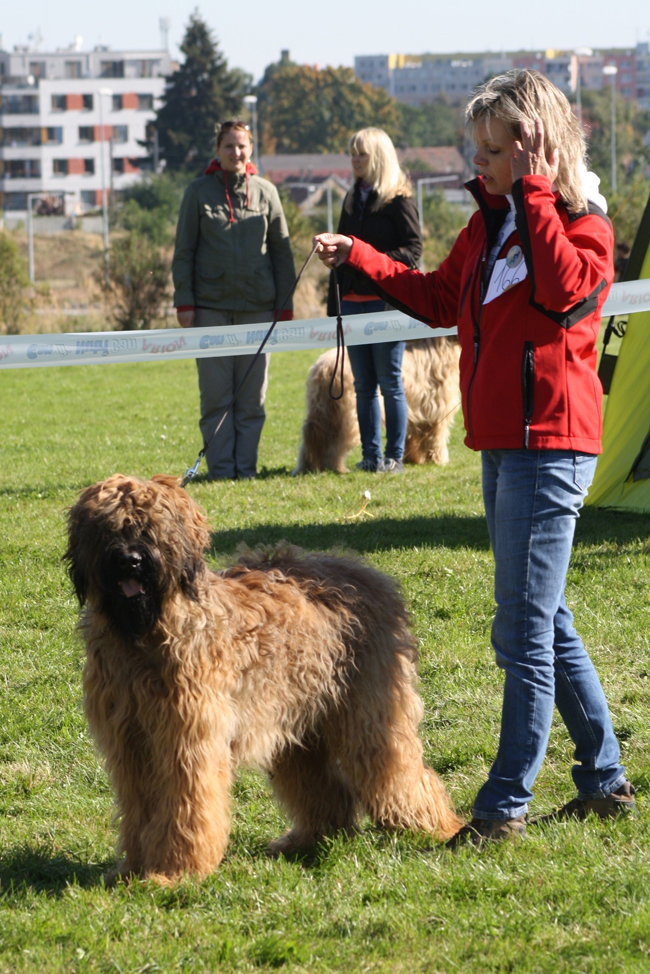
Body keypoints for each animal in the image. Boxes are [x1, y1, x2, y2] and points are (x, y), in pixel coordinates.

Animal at [66, 476, 458, 888]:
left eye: (149, 527)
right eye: (108, 528)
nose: (130, 560)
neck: (146, 635)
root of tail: (364, 571)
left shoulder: (187, 742)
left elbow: (186, 807)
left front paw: (175, 871)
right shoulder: (131, 743)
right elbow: (140, 808)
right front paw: (133, 868)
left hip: (370, 714)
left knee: (396, 771)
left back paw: (436, 827)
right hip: (299, 721)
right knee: (322, 787)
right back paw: (310, 839)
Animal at [292, 340, 458, 476]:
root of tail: (325, 368)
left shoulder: (415, 415)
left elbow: (412, 438)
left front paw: (414, 459)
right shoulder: (436, 410)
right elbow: (436, 437)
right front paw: (439, 459)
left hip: (323, 410)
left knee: (312, 435)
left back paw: (307, 467)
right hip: (348, 417)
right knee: (336, 443)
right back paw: (336, 467)